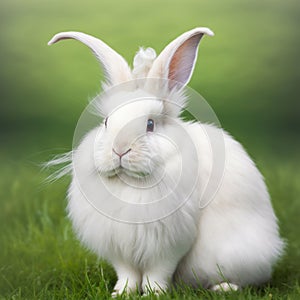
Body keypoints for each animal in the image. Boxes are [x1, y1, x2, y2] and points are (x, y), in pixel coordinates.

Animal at [48, 28, 284, 296]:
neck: (130, 184)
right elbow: (127, 273)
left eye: (150, 124)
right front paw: (121, 293)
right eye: (107, 122)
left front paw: (154, 293)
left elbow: (158, 272)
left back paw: (224, 287)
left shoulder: (169, 245)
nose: (120, 150)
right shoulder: (120, 247)